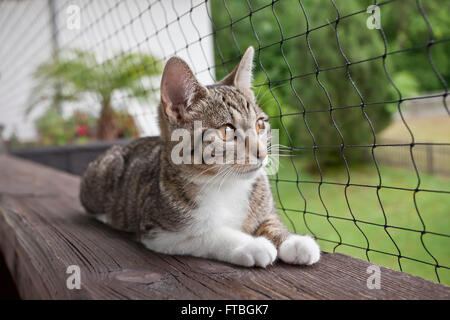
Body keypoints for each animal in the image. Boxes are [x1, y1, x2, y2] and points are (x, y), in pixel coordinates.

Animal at [80, 47, 320, 268]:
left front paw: (293, 241)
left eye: (260, 124)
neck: (227, 184)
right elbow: (206, 234)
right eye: (226, 131)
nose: (262, 152)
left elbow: (271, 220)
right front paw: (252, 244)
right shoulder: (158, 231)